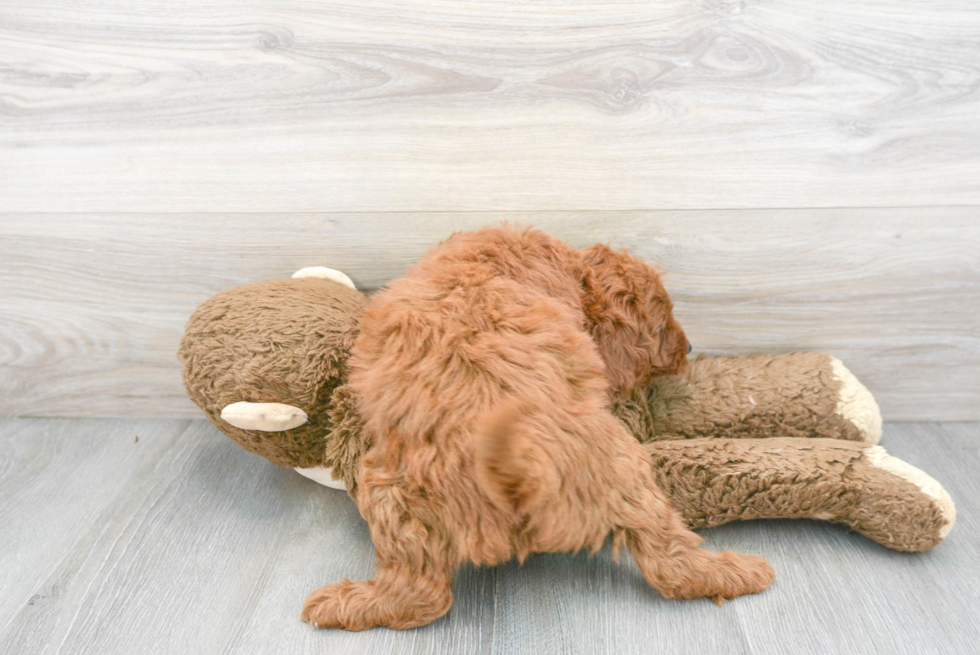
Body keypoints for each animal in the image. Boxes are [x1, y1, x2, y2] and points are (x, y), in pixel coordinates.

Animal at [298, 226, 772, 632]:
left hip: (389, 489)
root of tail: (517, 471)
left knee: (421, 594)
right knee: (669, 559)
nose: (689, 347)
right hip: (625, 474)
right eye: (659, 326)